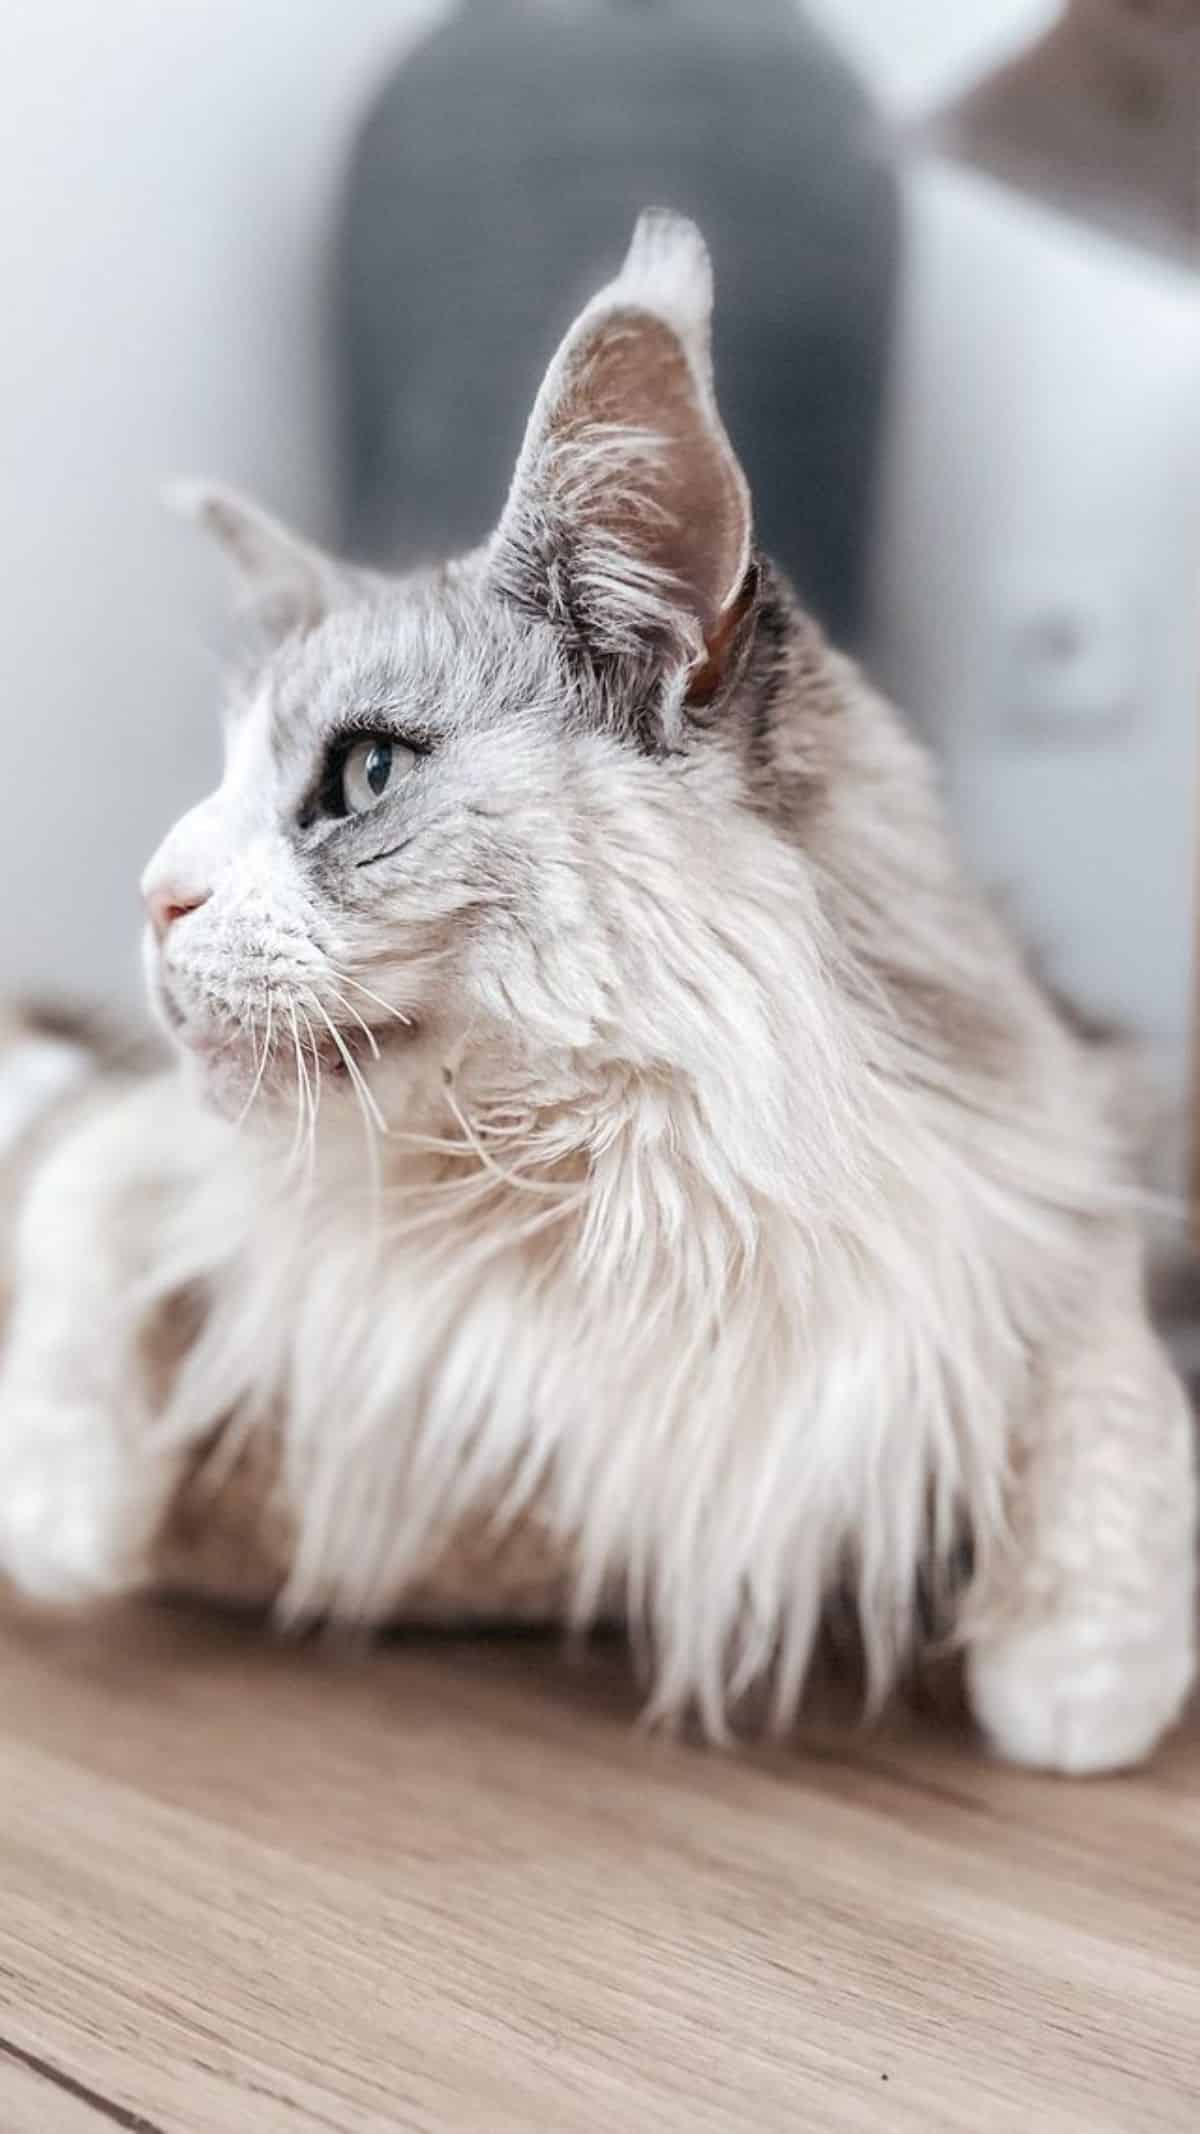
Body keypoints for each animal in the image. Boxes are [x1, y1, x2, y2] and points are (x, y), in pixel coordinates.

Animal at [0, 212, 1187, 1766]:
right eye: (215, 783)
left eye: (362, 775)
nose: (153, 895)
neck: (577, 1198)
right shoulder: (188, 1151)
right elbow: (79, 1207)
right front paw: (65, 1516)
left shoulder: (1052, 1151)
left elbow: (1112, 1368)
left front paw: (1081, 1671)